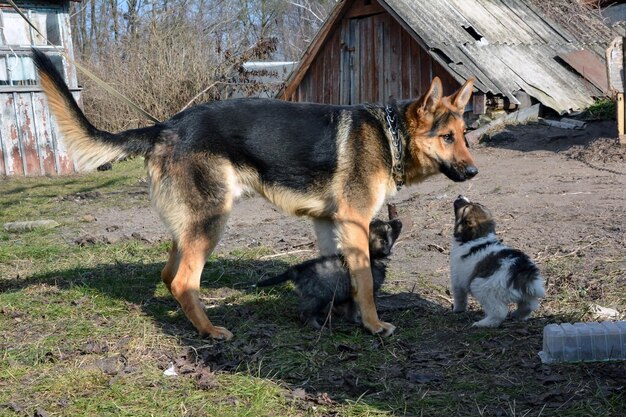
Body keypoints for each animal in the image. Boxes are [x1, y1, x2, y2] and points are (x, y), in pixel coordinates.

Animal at [256, 218, 402, 328]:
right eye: (388, 227)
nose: (399, 220)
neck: (371, 256)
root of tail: (298, 269)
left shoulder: (352, 295)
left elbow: (352, 309)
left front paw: (353, 320)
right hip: (319, 297)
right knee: (305, 313)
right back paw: (316, 326)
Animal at [448, 194, 540, 324]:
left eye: (465, 208)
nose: (460, 195)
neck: (479, 236)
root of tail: (522, 272)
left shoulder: (457, 279)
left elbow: (459, 297)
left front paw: (457, 310)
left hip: (481, 287)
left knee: (499, 313)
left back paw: (482, 324)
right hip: (527, 295)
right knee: (528, 306)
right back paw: (517, 315)